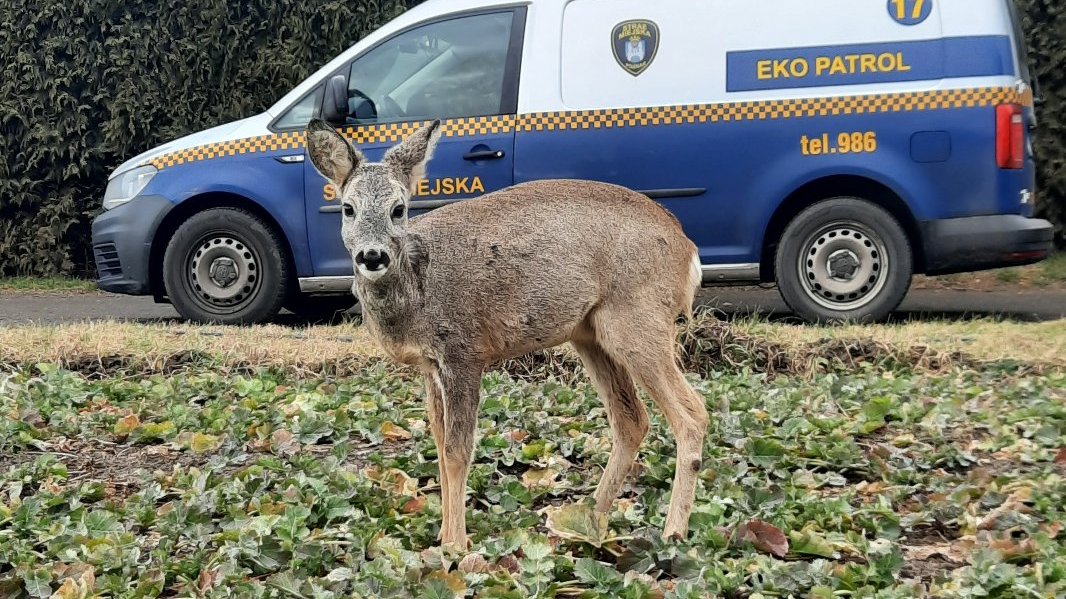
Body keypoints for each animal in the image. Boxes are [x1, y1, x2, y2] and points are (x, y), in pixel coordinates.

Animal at [307, 116, 707, 545]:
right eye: (348, 208)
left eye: (398, 209)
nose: (372, 255)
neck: (418, 288)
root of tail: (688, 250)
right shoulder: (430, 367)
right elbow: (438, 445)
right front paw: (442, 536)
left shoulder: (463, 352)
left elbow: (457, 452)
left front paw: (455, 545)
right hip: (590, 334)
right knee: (631, 420)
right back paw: (583, 521)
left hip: (638, 319)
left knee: (692, 414)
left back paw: (673, 532)